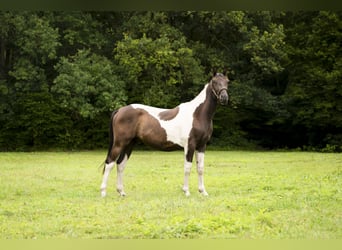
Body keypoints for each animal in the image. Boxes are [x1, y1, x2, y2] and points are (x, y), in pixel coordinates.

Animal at [101, 73, 230, 197]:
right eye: (214, 82)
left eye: (227, 81)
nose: (224, 98)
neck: (198, 114)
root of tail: (120, 110)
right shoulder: (190, 145)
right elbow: (187, 168)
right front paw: (186, 191)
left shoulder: (202, 146)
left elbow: (200, 168)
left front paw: (203, 192)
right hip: (119, 144)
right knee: (109, 163)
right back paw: (103, 192)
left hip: (129, 144)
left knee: (120, 164)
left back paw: (121, 192)